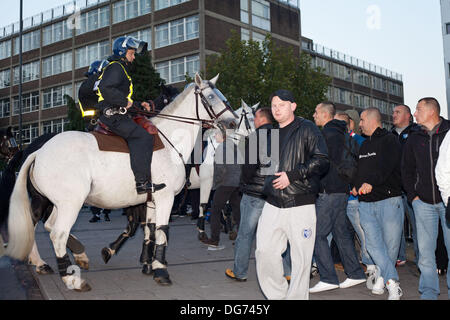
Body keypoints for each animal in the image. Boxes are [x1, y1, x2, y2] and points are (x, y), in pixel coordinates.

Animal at [6, 74, 236, 292]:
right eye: (211, 96)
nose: (233, 122)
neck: (169, 141)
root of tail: (38, 151)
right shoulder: (165, 197)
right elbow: (162, 230)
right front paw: (161, 271)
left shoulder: (150, 200)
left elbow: (149, 230)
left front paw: (148, 264)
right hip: (69, 203)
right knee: (57, 233)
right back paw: (71, 278)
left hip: (55, 202)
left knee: (46, 226)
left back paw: (59, 260)